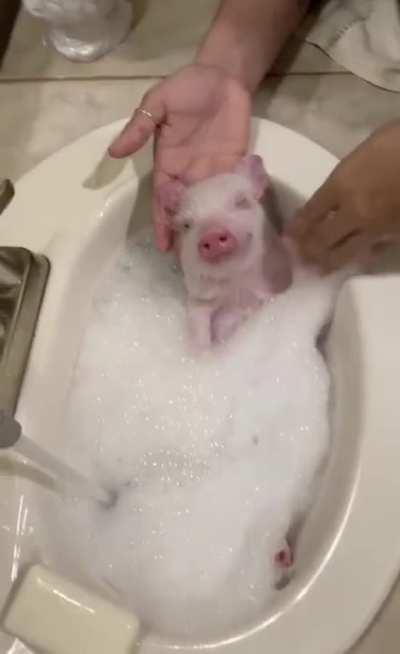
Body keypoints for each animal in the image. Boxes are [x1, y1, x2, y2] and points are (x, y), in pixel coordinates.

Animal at [159, 155, 293, 349]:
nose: (212, 234)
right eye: (186, 225)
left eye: (241, 201)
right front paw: (203, 351)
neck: (236, 288)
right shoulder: (198, 299)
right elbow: (199, 324)